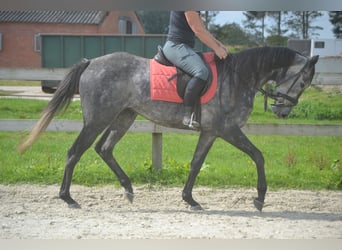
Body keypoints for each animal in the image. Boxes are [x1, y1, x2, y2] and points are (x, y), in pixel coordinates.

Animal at [18, 46, 318, 210]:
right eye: (303, 82)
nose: (282, 111)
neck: (239, 77)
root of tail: (91, 63)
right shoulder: (228, 130)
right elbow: (258, 155)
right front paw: (260, 198)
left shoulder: (210, 132)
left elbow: (196, 163)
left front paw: (189, 199)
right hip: (97, 120)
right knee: (75, 151)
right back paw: (67, 198)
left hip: (124, 117)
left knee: (104, 149)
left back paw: (128, 189)